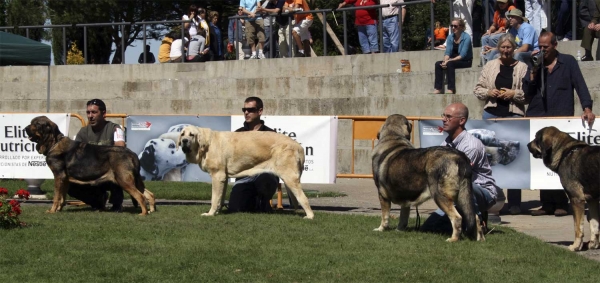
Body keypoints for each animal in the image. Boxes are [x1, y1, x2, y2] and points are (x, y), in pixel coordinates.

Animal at [24, 115, 156, 215]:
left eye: (36, 124)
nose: (25, 128)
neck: (53, 142)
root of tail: (131, 153)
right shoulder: (65, 179)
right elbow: (62, 197)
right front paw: (59, 210)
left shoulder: (58, 176)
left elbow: (56, 197)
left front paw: (52, 211)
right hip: (134, 180)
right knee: (149, 194)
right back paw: (151, 211)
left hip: (123, 180)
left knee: (141, 196)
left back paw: (143, 213)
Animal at [176, 126, 314, 220]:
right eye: (182, 134)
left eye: (192, 135)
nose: (184, 141)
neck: (205, 146)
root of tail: (298, 146)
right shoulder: (223, 178)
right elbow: (220, 198)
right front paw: (218, 211)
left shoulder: (217, 176)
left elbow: (214, 198)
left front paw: (210, 213)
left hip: (289, 177)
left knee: (303, 198)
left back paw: (310, 216)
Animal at [372, 114, 486, 243]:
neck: (393, 136)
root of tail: (459, 156)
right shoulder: (406, 199)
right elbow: (403, 217)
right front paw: (399, 230)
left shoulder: (382, 195)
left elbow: (385, 215)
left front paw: (381, 229)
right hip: (462, 197)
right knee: (475, 217)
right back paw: (480, 239)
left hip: (439, 195)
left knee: (457, 218)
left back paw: (453, 239)